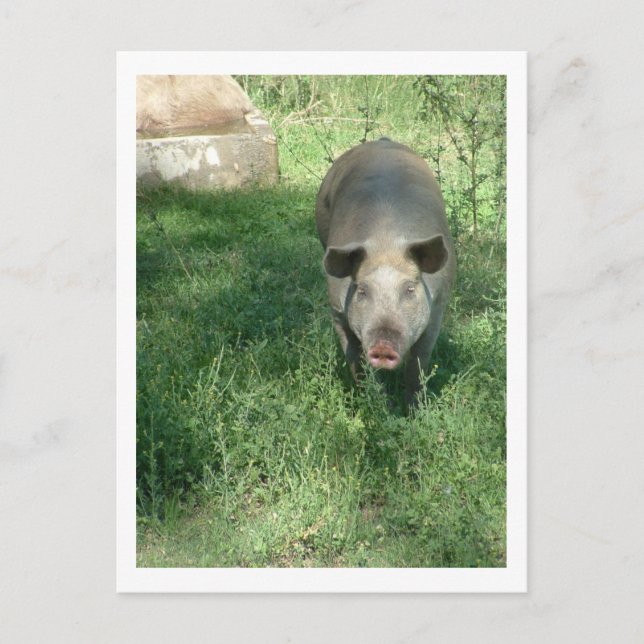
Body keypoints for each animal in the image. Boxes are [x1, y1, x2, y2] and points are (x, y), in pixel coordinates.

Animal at [315, 138, 456, 407]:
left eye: (410, 289)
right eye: (362, 291)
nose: (383, 345)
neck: (386, 244)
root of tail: (383, 140)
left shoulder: (437, 307)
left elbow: (418, 365)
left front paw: (413, 409)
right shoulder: (336, 310)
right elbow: (356, 361)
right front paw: (377, 404)